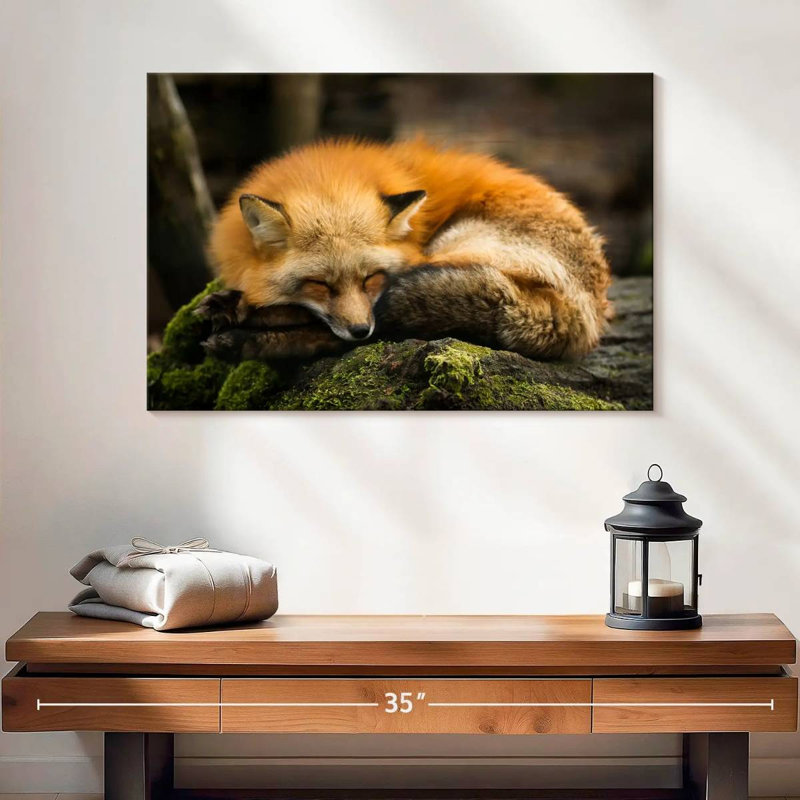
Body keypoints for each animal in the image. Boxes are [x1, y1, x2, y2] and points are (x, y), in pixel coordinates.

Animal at [198, 138, 611, 361]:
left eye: (371, 278)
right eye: (319, 284)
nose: (359, 330)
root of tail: (589, 314)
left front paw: (243, 310)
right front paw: (234, 303)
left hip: (453, 248)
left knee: (366, 331)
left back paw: (245, 337)